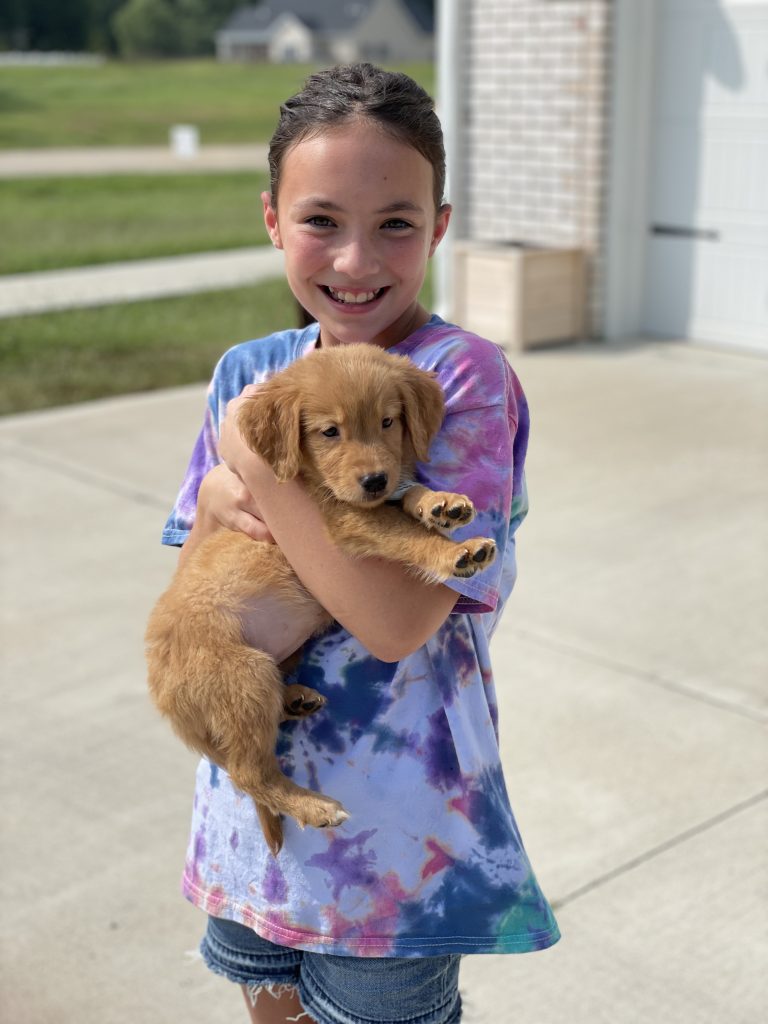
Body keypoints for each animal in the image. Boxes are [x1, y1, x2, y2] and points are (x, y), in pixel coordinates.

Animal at [146, 339, 499, 851]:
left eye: (388, 421)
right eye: (330, 431)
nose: (373, 480)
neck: (313, 479)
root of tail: (166, 699)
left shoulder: (372, 496)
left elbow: (407, 493)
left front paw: (440, 503)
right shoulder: (345, 518)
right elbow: (405, 533)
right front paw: (455, 551)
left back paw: (294, 699)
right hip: (241, 674)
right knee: (248, 772)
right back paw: (314, 807)